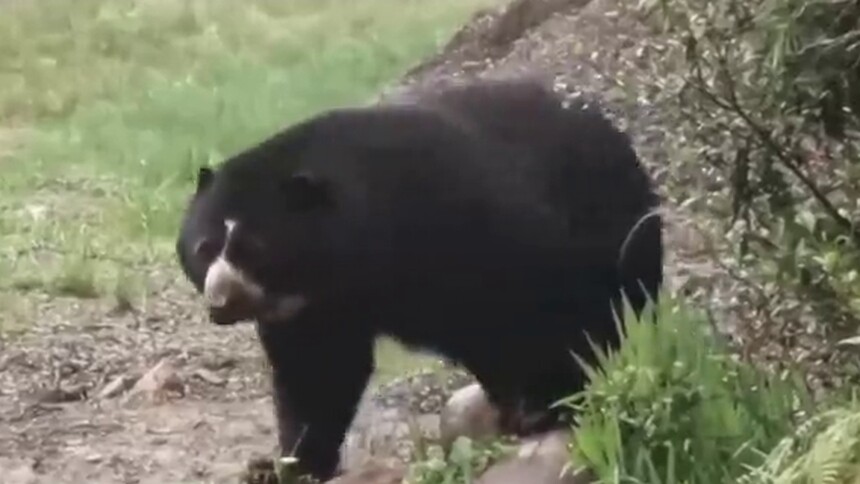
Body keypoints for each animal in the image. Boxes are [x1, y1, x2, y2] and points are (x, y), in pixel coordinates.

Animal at [175, 77, 663, 481]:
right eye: (203, 249)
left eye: (254, 249)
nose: (222, 301)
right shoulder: (316, 306)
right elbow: (316, 372)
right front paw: (287, 465)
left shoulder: (464, 224)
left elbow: (536, 306)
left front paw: (550, 404)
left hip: (619, 227)